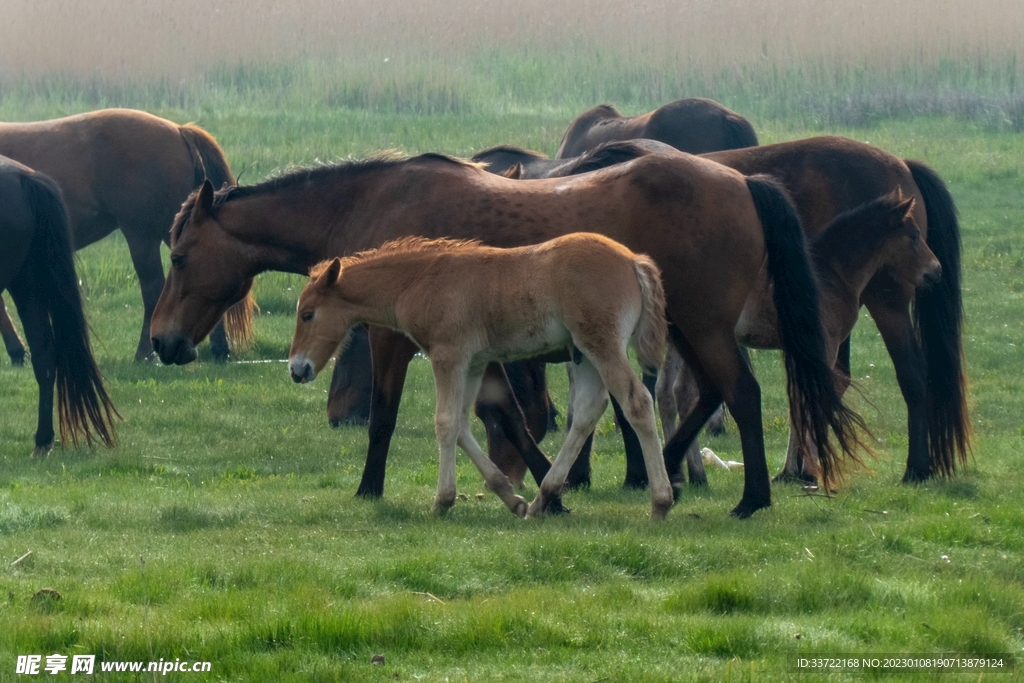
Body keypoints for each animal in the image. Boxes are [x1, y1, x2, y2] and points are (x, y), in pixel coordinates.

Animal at [288, 234, 673, 519]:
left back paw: (661, 502)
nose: (296, 369)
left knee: (637, 402)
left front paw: (442, 501)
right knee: (588, 412)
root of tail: (634, 261)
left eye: (307, 314)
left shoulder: (448, 355)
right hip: (584, 353)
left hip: (602, 345)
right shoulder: (473, 363)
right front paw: (509, 497)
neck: (420, 279)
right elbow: (460, 424)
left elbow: (445, 422)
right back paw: (542, 499)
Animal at [660, 191, 941, 484]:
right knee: (684, 392)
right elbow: (812, 400)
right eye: (913, 236)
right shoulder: (825, 347)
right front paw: (809, 471)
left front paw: (793, 471)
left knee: (678, 392)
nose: (936, 271)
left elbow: (797, 402)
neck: (831, 273)